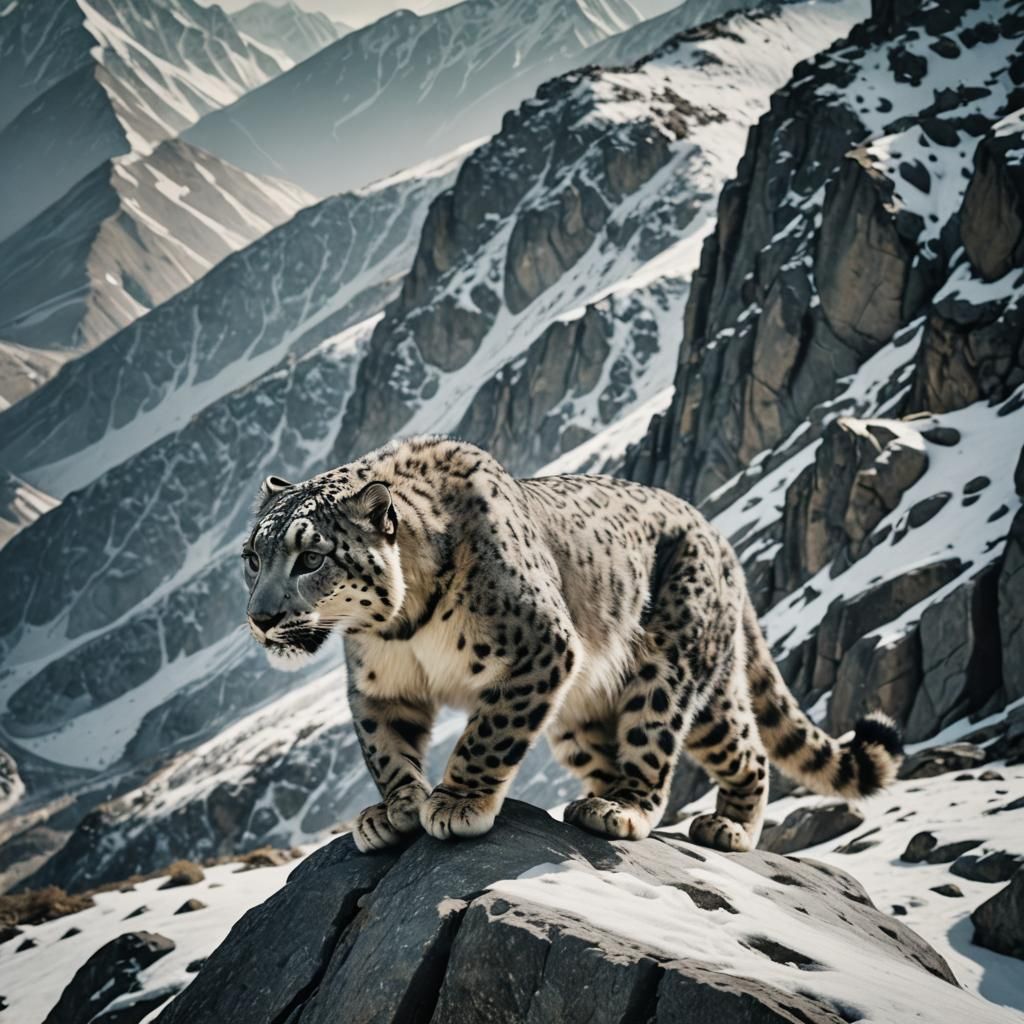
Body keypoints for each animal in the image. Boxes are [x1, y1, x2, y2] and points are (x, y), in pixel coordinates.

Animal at [242, 435, 902, 854]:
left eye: (310, 557)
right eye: (252, 557)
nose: (260, 618)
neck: (402, 626)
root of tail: (720, 539)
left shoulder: (539, 647)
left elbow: (487, 736)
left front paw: (456, 804)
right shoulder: (381, 686)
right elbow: (385, 749)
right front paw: (395, 809)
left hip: (668, 673)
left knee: (715, 749)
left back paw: (663, 818)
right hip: (580, 716)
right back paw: (600, 803)